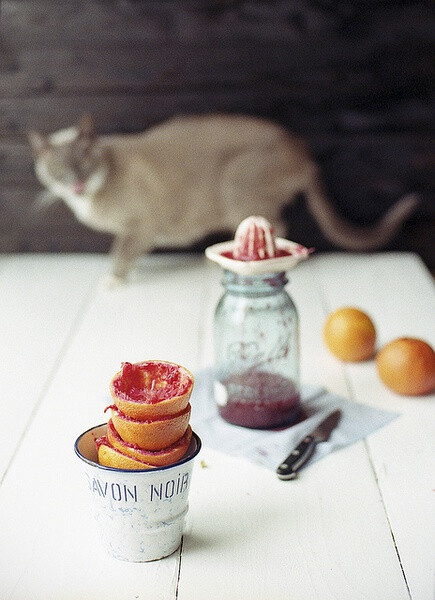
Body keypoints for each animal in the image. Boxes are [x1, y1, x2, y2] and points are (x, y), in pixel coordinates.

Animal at [28, 114, 418, 284]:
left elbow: (120, 253)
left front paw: (114, 279)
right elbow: (125, 252)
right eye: (59, 170)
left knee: (277, 224)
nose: (77, 182)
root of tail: (302, 151)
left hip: (237, 186)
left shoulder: (141, 226)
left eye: (83, 162)